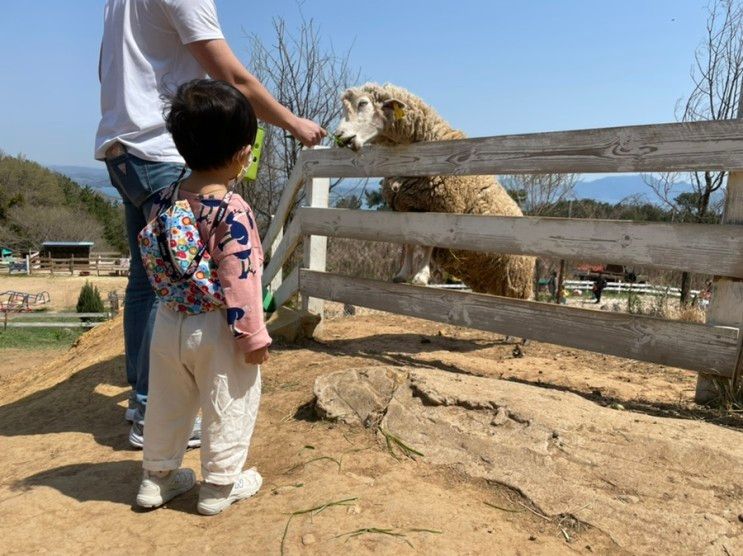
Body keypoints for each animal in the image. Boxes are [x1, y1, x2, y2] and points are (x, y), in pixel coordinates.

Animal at [336, 80, 536, 302]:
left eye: (363, 103)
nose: (340, 136)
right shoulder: (405, 207)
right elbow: (408, 242)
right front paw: (403, 274)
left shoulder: (439, 206)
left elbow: (427, 243)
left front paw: (421, 277)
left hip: (517, 284)